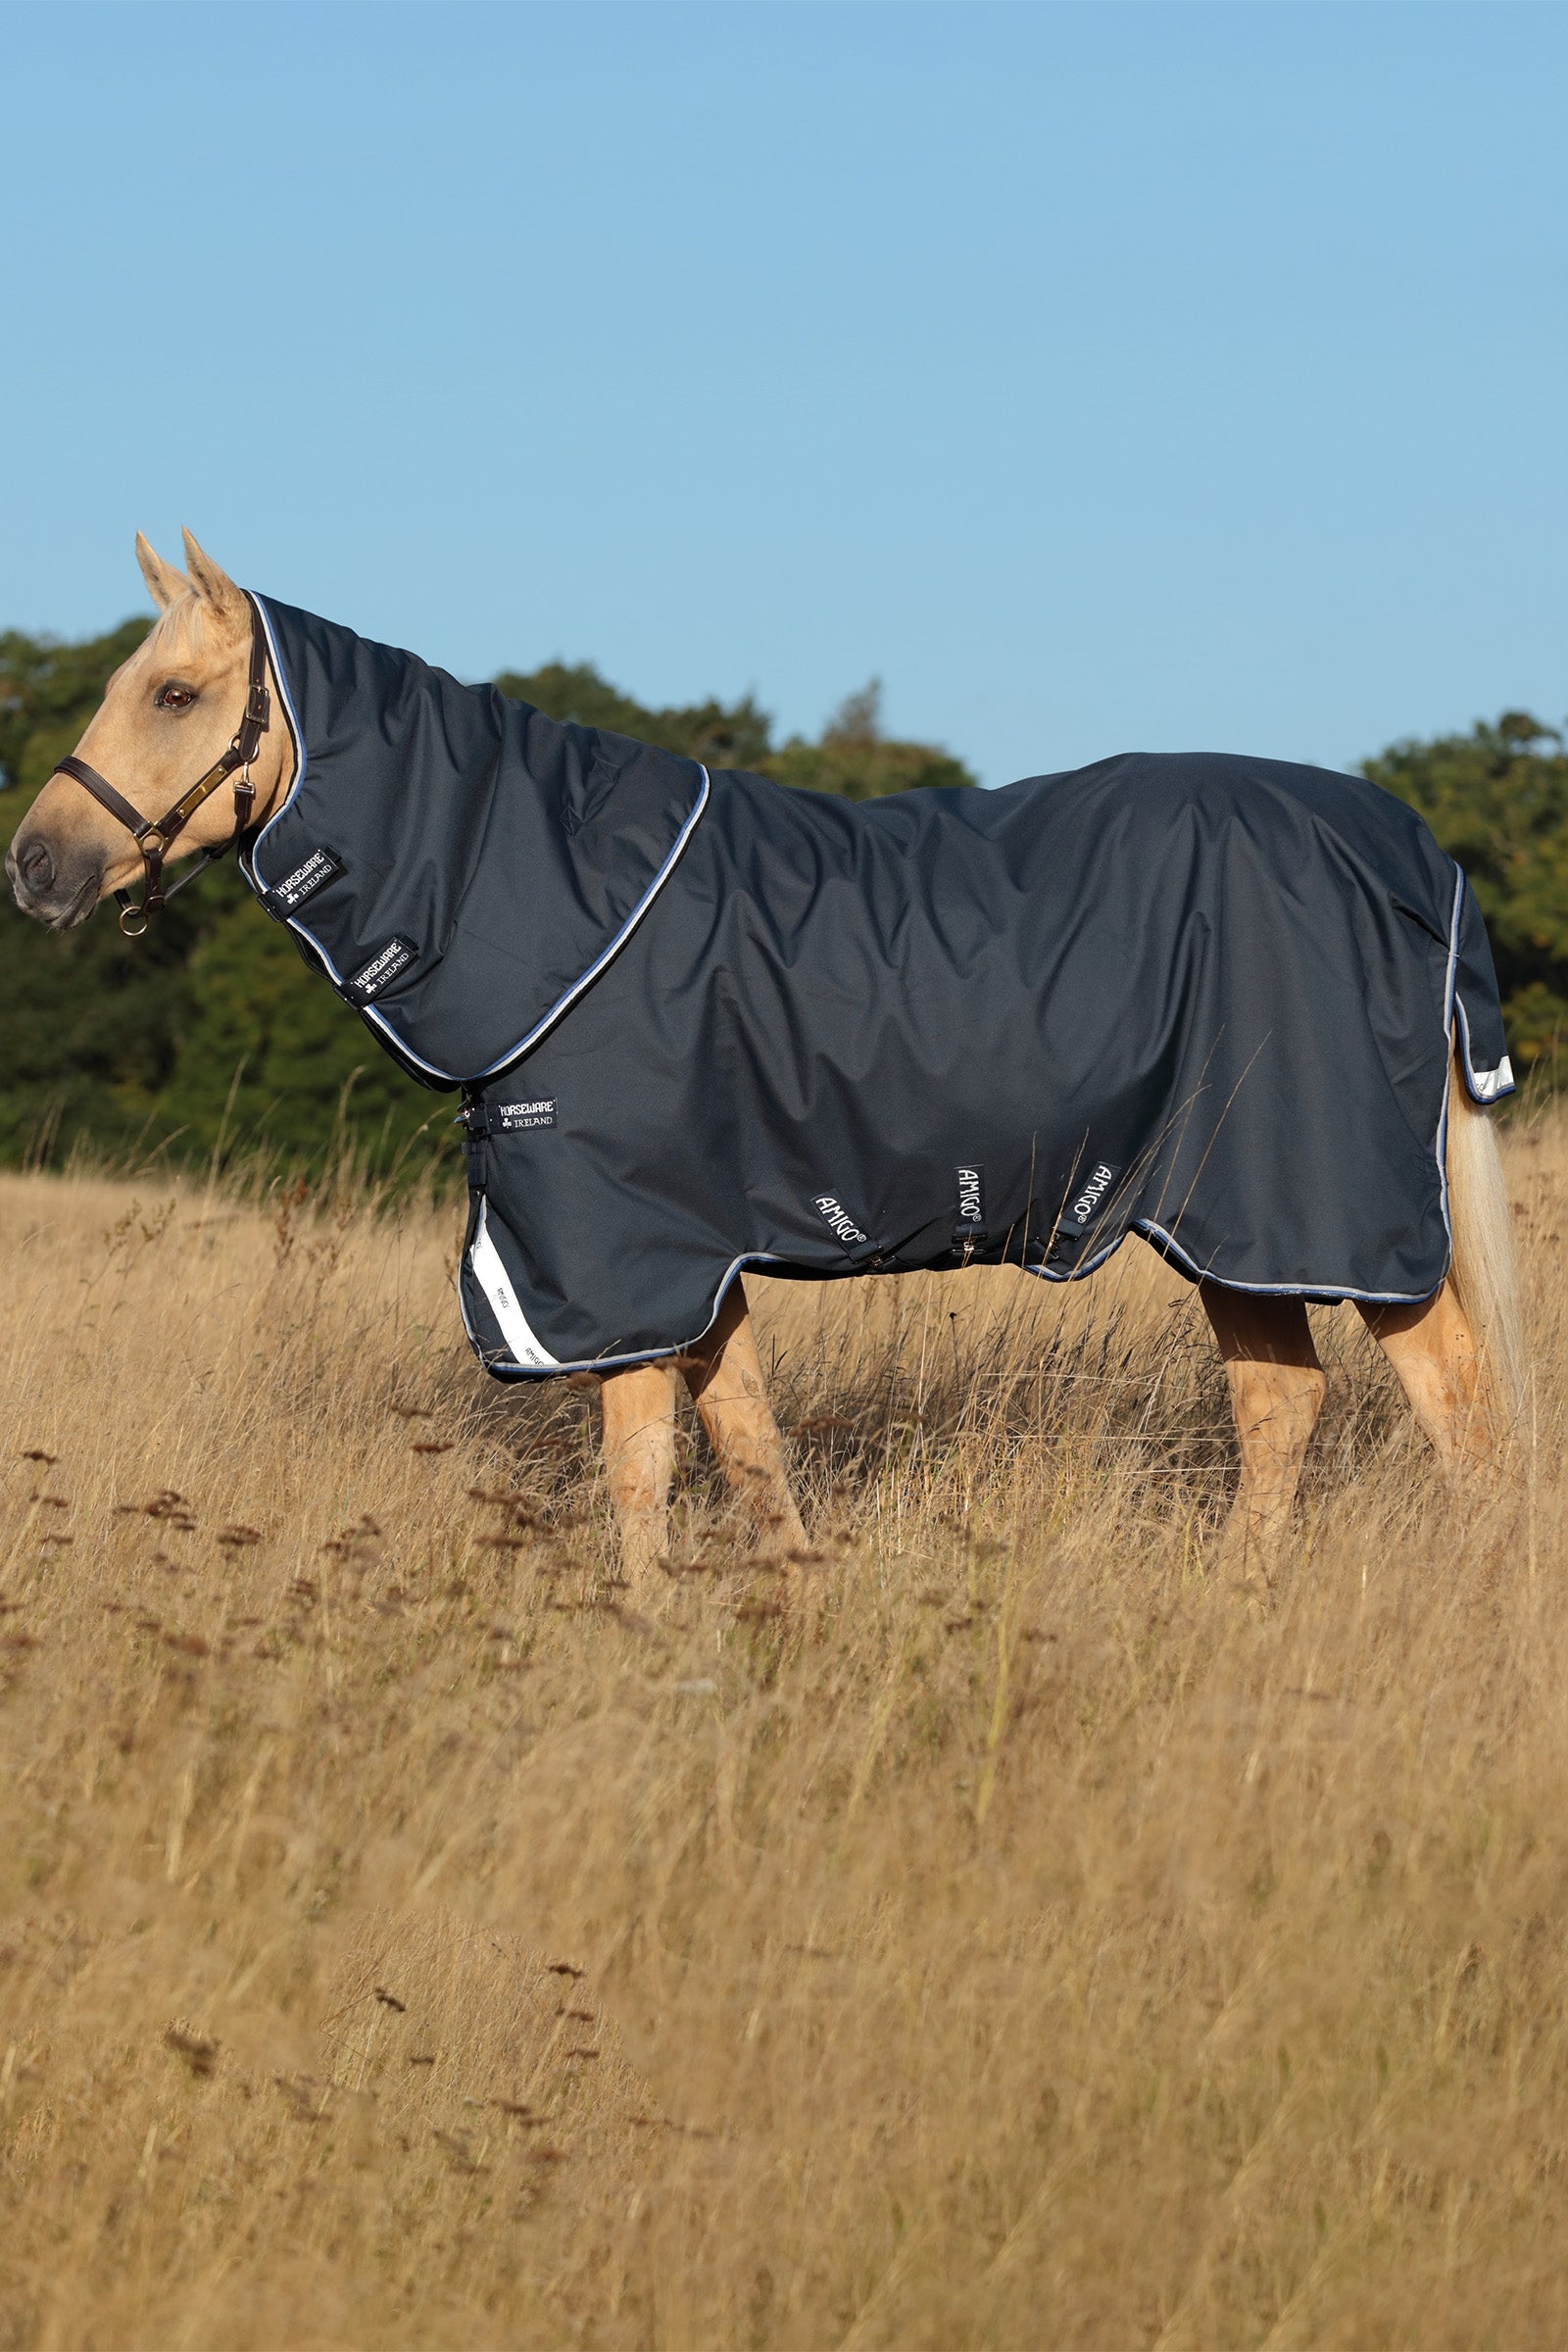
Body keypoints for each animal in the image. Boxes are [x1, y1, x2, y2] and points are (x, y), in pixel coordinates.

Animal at [6, 533, 1523, 1576]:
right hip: (1227, 1221)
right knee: (1285, 1405)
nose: (35, 867)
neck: (551, 895)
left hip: (1314, 1208)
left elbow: (638, 1471)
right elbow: (747, 1451)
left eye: (176, 694)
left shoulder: (613, 1260)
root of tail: (1409, 854)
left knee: (1461, 1416)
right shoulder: (695, 1254)